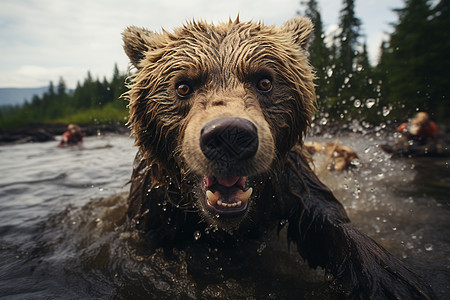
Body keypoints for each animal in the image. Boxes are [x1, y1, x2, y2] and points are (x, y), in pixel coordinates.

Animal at [122, 17, 436, 300]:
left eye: (264, 81)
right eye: (183, 86)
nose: (229, 135)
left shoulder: (291, 184)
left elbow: (331, 225)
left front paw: (392, 282)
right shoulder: (154, 205)